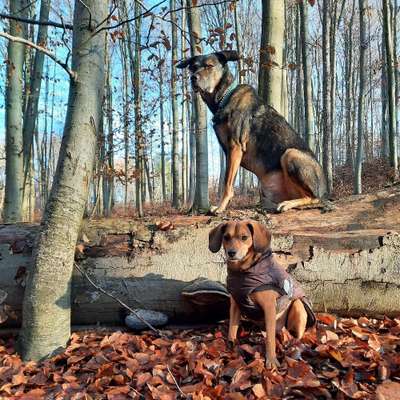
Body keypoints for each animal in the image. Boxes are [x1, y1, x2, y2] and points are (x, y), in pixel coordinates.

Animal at [178, 50, 328, 214]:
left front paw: (221, 207)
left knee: (313, 197)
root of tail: (325, 189)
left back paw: (287, 204)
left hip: (290, 154)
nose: (193, 78)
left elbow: (227, 183)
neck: (225, 96)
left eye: (209, 66)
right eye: (192, 67)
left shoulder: (235, 146)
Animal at [209, 220, 316, 370]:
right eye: (226, 237)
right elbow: (232, 330)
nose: (231, 253)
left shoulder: (269, 307)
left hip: (298, 306)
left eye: (244, 237)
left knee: (296, 335)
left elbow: (270, 340)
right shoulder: (235, 305)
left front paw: (271, 360)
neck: (243, 272)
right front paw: (231, 348)